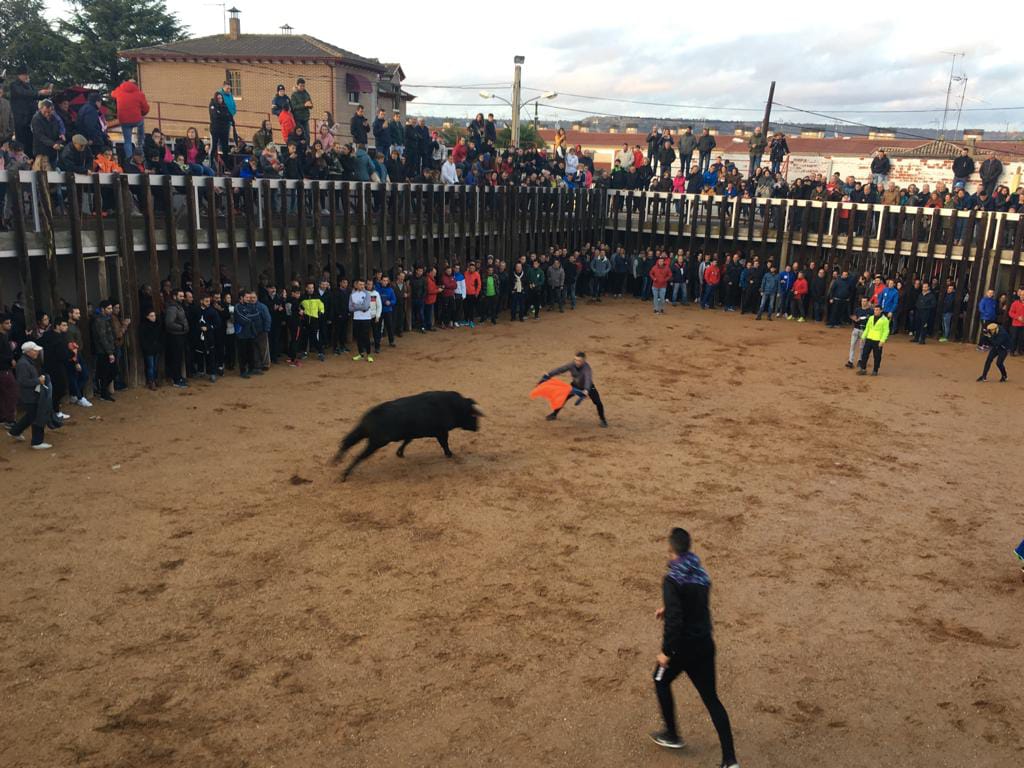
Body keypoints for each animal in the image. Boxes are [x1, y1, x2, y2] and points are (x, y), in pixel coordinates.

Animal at [331, 391, 483, 481]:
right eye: (473, 415)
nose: (477, 427)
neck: (453, 406)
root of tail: (370, 417)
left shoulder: (413, 433)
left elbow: (407, 441)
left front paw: (399, 453)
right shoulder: (441, 432)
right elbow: (444, 444)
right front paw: (450, 454)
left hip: (363, 432)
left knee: (347, 442)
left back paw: (336, 462)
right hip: (376, 442)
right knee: (358, 455)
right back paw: (344, 474)